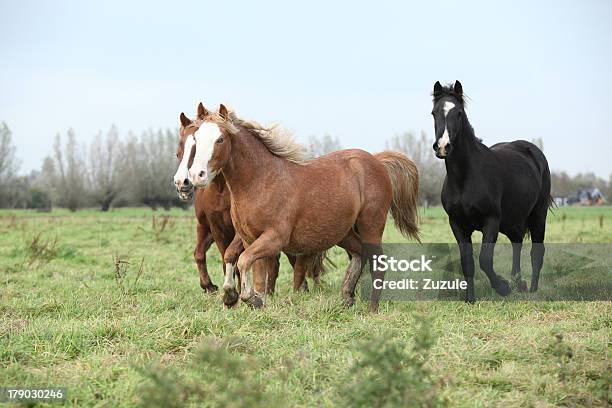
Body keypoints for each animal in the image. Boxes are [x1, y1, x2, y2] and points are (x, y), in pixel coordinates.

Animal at [190, 105, 420, 312]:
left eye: (220, 140)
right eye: (196, 139)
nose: (196, 175)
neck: (261, 181)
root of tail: (377, 161)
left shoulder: (275, 237)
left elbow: (244, 261)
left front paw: (246, 298)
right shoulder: (249, 239)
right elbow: (246, 267)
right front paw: (241, 299)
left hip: (371, 225)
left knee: (378, 264)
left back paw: (372, 309)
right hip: (342, 232)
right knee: (359, 253)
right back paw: (347, 297)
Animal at [430, 80, 556, 302]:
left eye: (459, 113)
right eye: (434, 113)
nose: (443, 147)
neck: (465, 178)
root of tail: (533, 151)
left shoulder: (491, 221)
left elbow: (485, 260)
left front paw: (502, 288)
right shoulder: (458, 225)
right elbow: (467, 262)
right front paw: (470, 299)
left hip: (537, 215)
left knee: (536, 253)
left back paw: (532, 289)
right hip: (512, 220)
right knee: (517, 242)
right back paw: (519, 283)